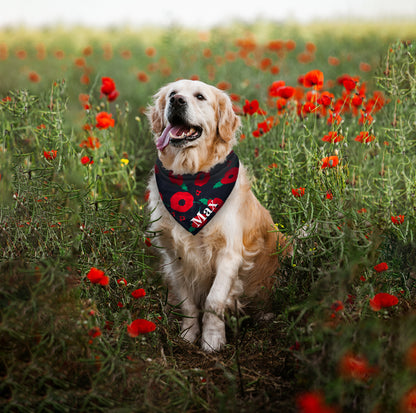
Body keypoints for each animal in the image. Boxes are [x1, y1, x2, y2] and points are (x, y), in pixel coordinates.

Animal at [146, 79, 290, 350]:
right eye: (172, 93)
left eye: (200, 97)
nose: (176, 101)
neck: (191, 176)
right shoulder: (174, 257)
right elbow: (188, 303)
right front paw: (188, 335)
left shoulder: (230, 254)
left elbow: (214, 300)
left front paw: (213, 341)